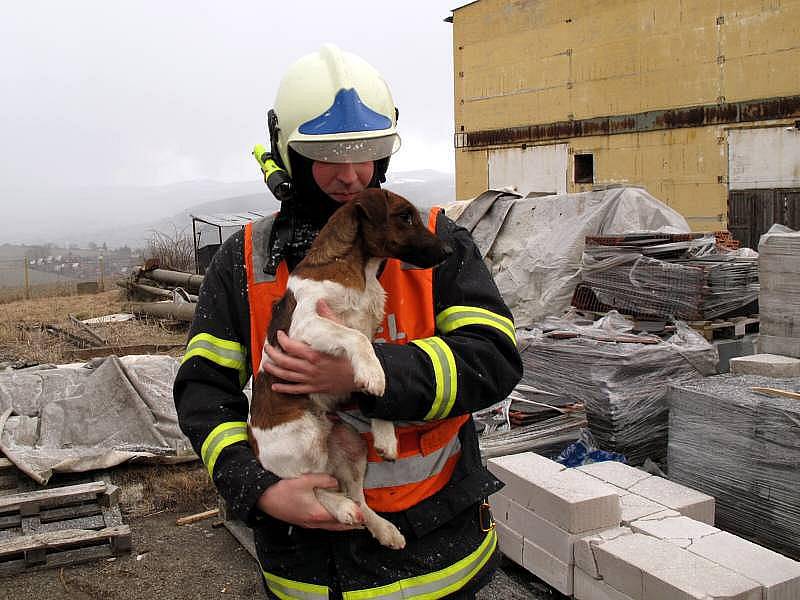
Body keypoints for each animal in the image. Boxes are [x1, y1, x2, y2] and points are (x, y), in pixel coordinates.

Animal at [247, 190, 454, 552]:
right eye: (405, 217)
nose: (449, 251)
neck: (358, 269)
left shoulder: (365, 336)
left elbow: (378, 384)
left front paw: (385, 433)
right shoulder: (306, 326)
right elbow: (354, 338)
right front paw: (373, 375)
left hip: (353, 445)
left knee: (357, 496)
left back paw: (383, 528)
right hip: (306, 441)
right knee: (314, 489)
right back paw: (340, 508)